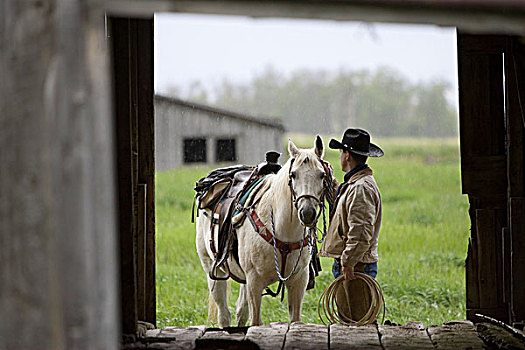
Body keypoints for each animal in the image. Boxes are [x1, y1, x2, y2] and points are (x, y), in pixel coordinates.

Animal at [196, 135, 328, 326]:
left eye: (322, 174)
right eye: (293, 174)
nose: (307, 213)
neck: (283, 230)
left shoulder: (298, 280)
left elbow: (295, 320)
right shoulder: (254, 281)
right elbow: (255, 321)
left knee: (241, 311)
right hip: (212, 269)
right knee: (224, 314)